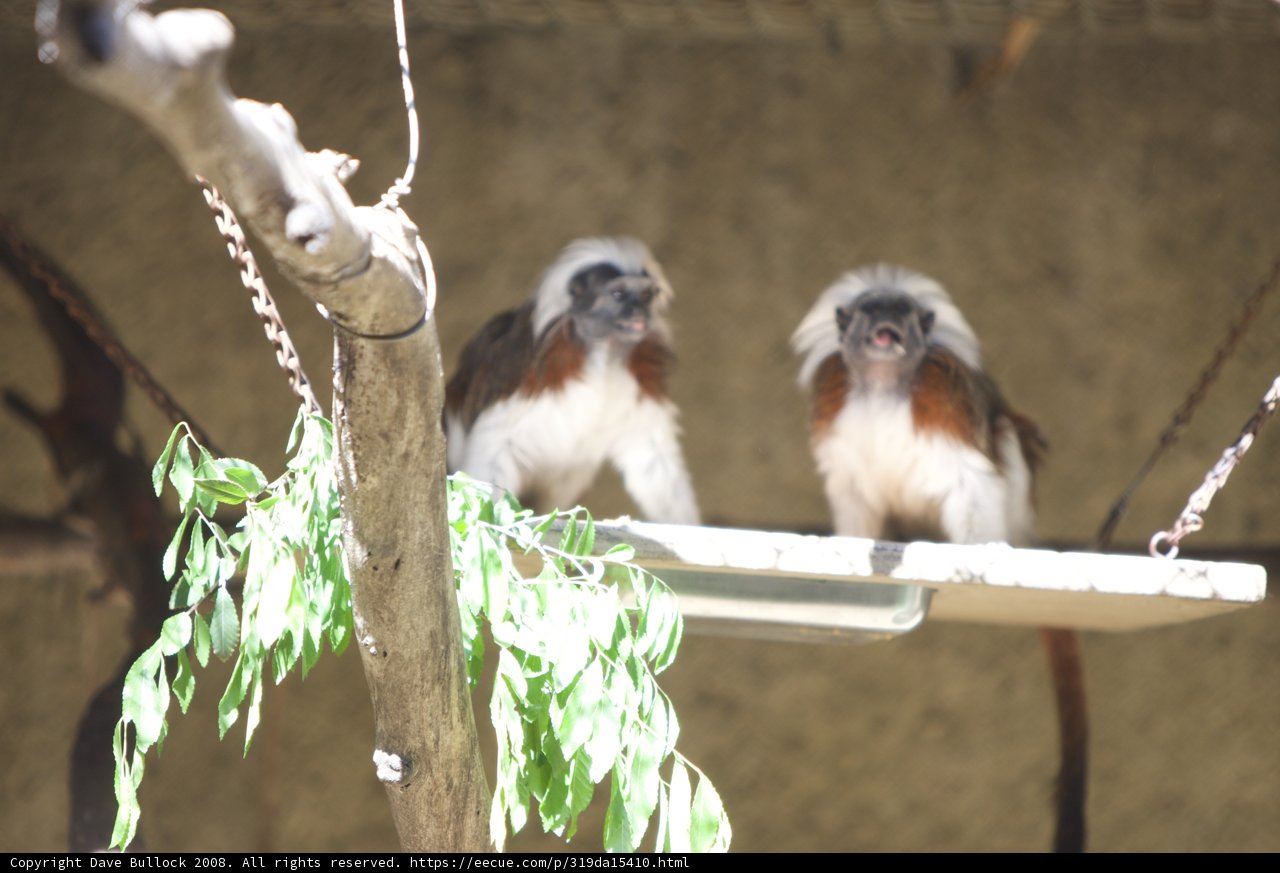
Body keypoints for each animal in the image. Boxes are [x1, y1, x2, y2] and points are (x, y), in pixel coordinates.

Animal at [444, 236, 700, 525]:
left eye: (645, 295)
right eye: (619, 294)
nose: (639, 312)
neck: (603, 353)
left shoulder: (641, 378)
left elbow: (652, 453)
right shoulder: (528, 377)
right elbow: (495, 442)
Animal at [793, 265, 1087, 852]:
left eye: (901, 313)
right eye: (871, 310)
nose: (885, 326)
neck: (884, 385)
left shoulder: (944, 397)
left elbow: (971, 477)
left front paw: (977, 551)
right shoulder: (834, 403)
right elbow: (851, 491)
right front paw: (846, 541)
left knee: (1005, 432)